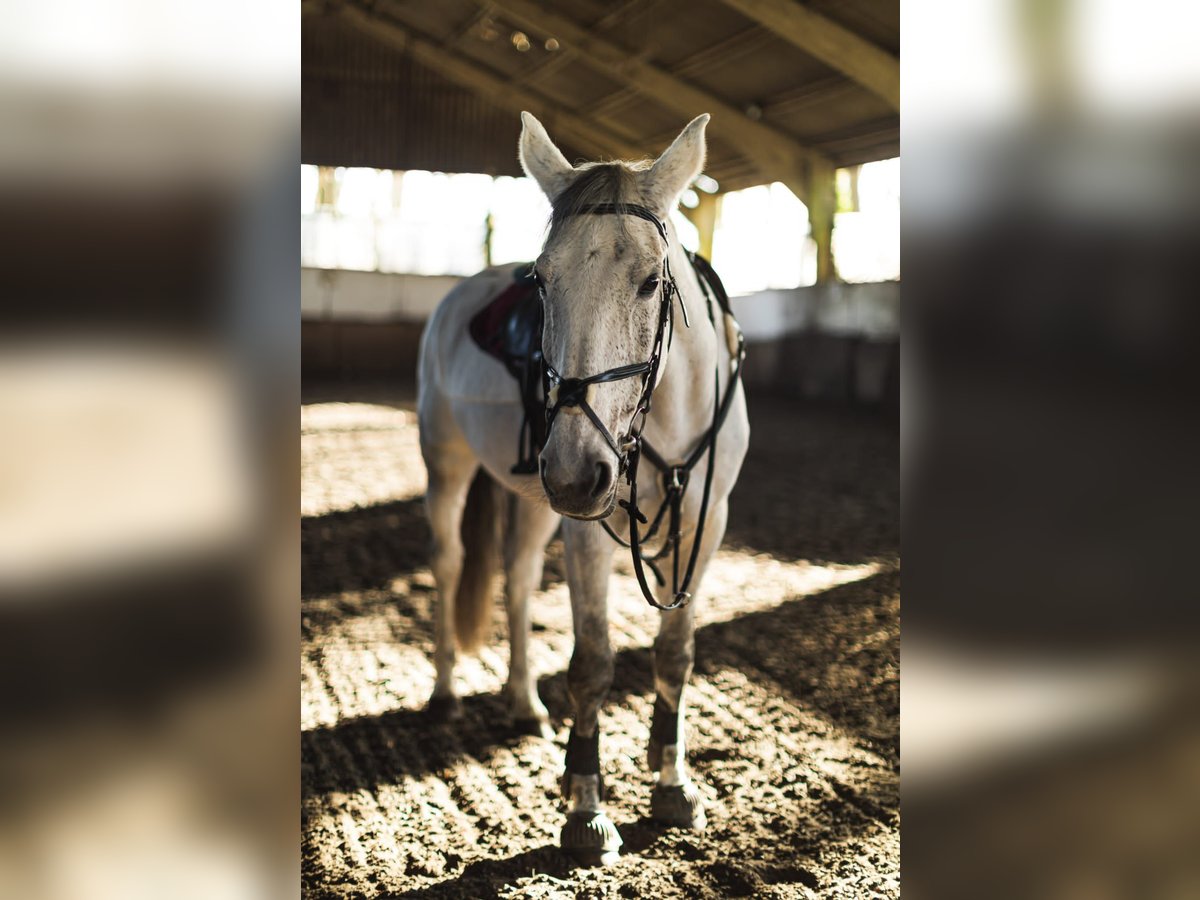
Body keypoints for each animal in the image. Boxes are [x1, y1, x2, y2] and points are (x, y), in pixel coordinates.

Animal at [417, 112, 744, 868]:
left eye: (652, 281)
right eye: (542, 280)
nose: (572, 471)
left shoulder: (705, 524)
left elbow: (675, 653)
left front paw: (673, 785)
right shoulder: (589, 527)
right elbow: (593, 662)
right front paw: (587, 812)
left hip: (537, 499)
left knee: (515, 572)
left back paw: (523, 702)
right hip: (449, 464)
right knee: (448, 563)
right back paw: (446, 693)